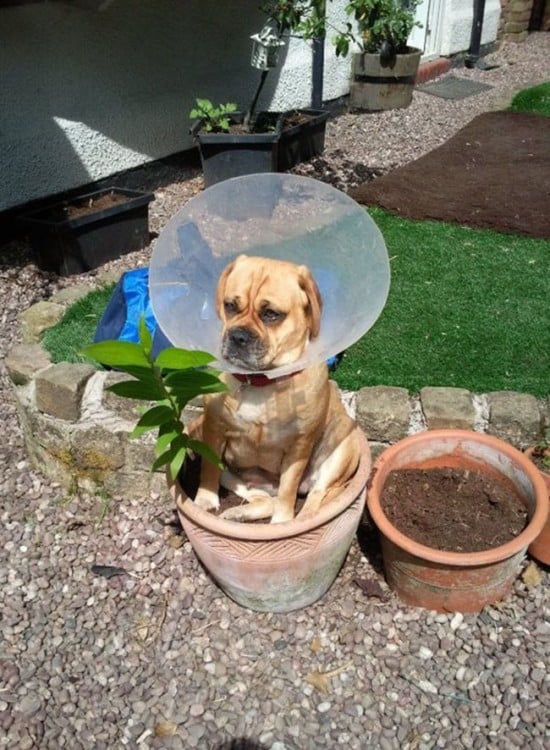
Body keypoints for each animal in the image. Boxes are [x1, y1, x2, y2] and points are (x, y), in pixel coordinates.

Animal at [194, 256, 362, 524]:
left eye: (271, 314)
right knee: (262, 499)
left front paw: (282, 522)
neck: (262, 382)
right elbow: (208, 470)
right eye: (230, 305)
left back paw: (301, 519)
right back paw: (237, 513)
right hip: (227, 468)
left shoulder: (299, 446)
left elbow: (288, 490)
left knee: (316, 495)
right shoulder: (213, 427)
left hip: (340, 448)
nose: (238, 336)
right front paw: (205, 502)